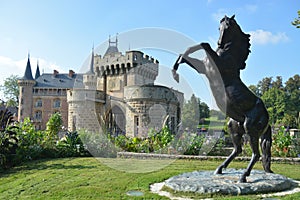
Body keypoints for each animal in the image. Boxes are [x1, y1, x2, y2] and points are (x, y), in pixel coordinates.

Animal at [172, 14, 274, 182]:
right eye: (218, 27)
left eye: (227, 26)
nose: (219, 43)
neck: (228, 55)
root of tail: (267, 120)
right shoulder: (204, 68)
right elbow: (186, 56)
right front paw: (175, 71)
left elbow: (204, 44)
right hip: (234, 127)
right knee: (238, 150)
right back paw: (220, 169)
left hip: (250, 129)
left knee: (256, 154)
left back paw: (243, 177)